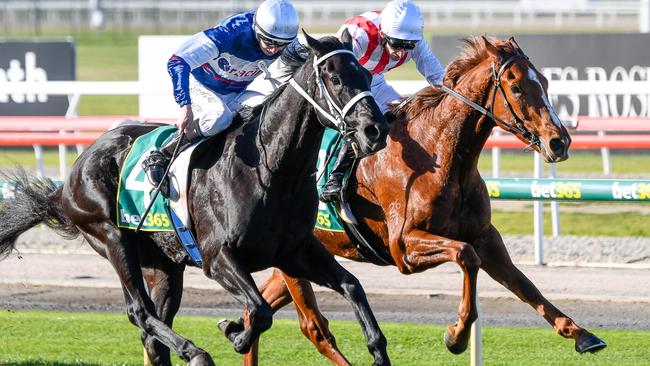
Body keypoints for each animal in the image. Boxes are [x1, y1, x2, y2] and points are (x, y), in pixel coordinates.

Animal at [0, 33, 390, 366]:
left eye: (367, 75)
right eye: (334, 79)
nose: (375, 130)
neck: (274, 171)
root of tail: (68, 180)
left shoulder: (295, 251)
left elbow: (352, 287)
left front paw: (378, 351)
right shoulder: (217, 256)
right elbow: (260, 310)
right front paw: (233, 332)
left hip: (164, 264)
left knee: (153, 331)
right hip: (111, 237)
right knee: (139, 311)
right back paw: (196, 352)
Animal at [221, 35, 604, 364]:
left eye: (546, 82)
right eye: (516, 87)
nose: (559, 142)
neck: (439, 155)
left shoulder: (485, 235)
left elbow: (523, 284)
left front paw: (581, 334)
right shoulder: (404, 247)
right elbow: (467, 257)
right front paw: (456, 336)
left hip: (303, 254)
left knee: (255, 311)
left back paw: (232, 327)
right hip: (294, 258)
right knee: (314, 328)